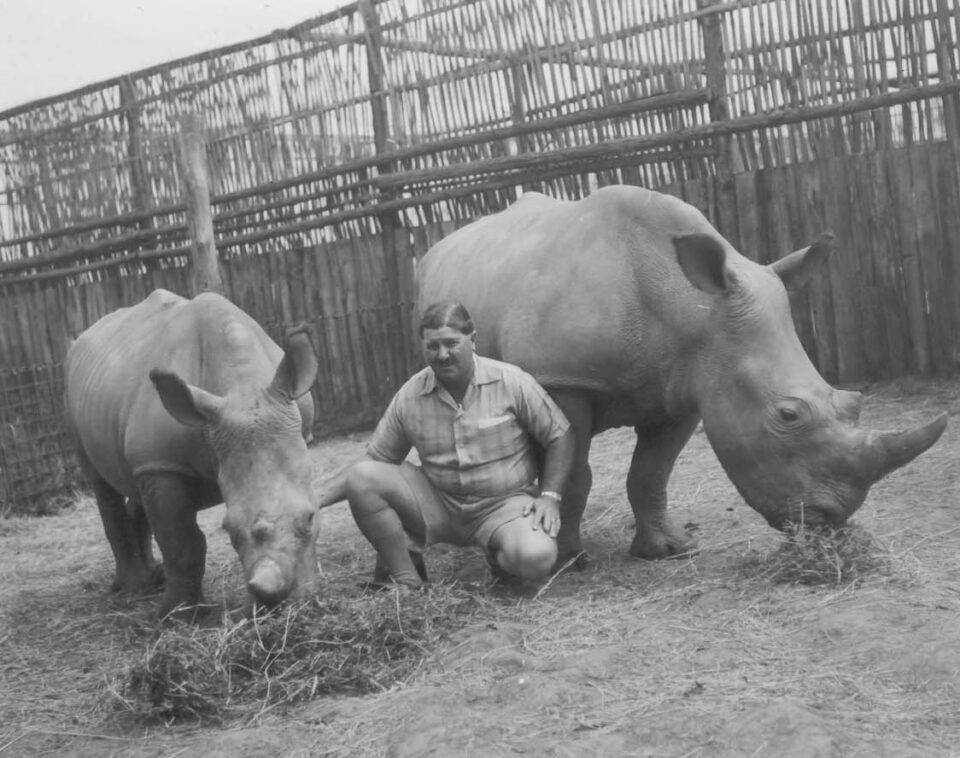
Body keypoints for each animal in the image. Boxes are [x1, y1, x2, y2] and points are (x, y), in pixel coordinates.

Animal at [65, 289, 320, 617]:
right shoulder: (163, 464)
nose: (277, 603)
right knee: (101, 482)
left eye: (311, 517)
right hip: (75, 398)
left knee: (134, 485)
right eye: (228, 530)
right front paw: (178, 617)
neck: (244, 389)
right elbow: (182, 541)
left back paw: (155, 577)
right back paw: (135, 589)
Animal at [417, 185, 947, 564]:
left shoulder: (688, 384)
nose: (830, 520)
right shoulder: (564, 380)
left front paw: (668, 550)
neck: (688, 305)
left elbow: (651, 471)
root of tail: (437, 246)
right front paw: (568, 558)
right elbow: (576, 472)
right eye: (788, 414)